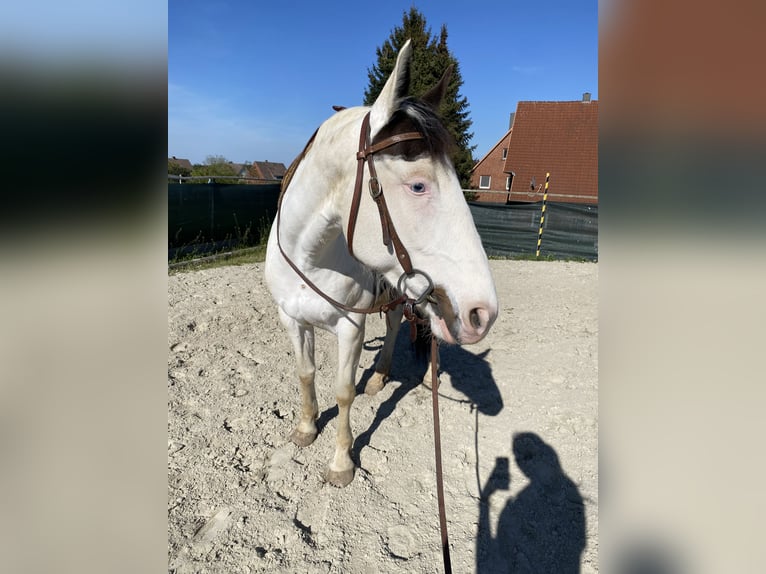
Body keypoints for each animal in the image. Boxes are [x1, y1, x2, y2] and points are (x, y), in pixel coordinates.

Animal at [264, 40, 498, 487]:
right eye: (418, 185)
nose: (483, 313)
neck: (311, 258)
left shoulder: (351, 327)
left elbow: (343, 393)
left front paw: (341, 463)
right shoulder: (292, 319)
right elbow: (305, 373)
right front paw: (305, 428)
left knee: (402, 329)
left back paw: (396, 377)